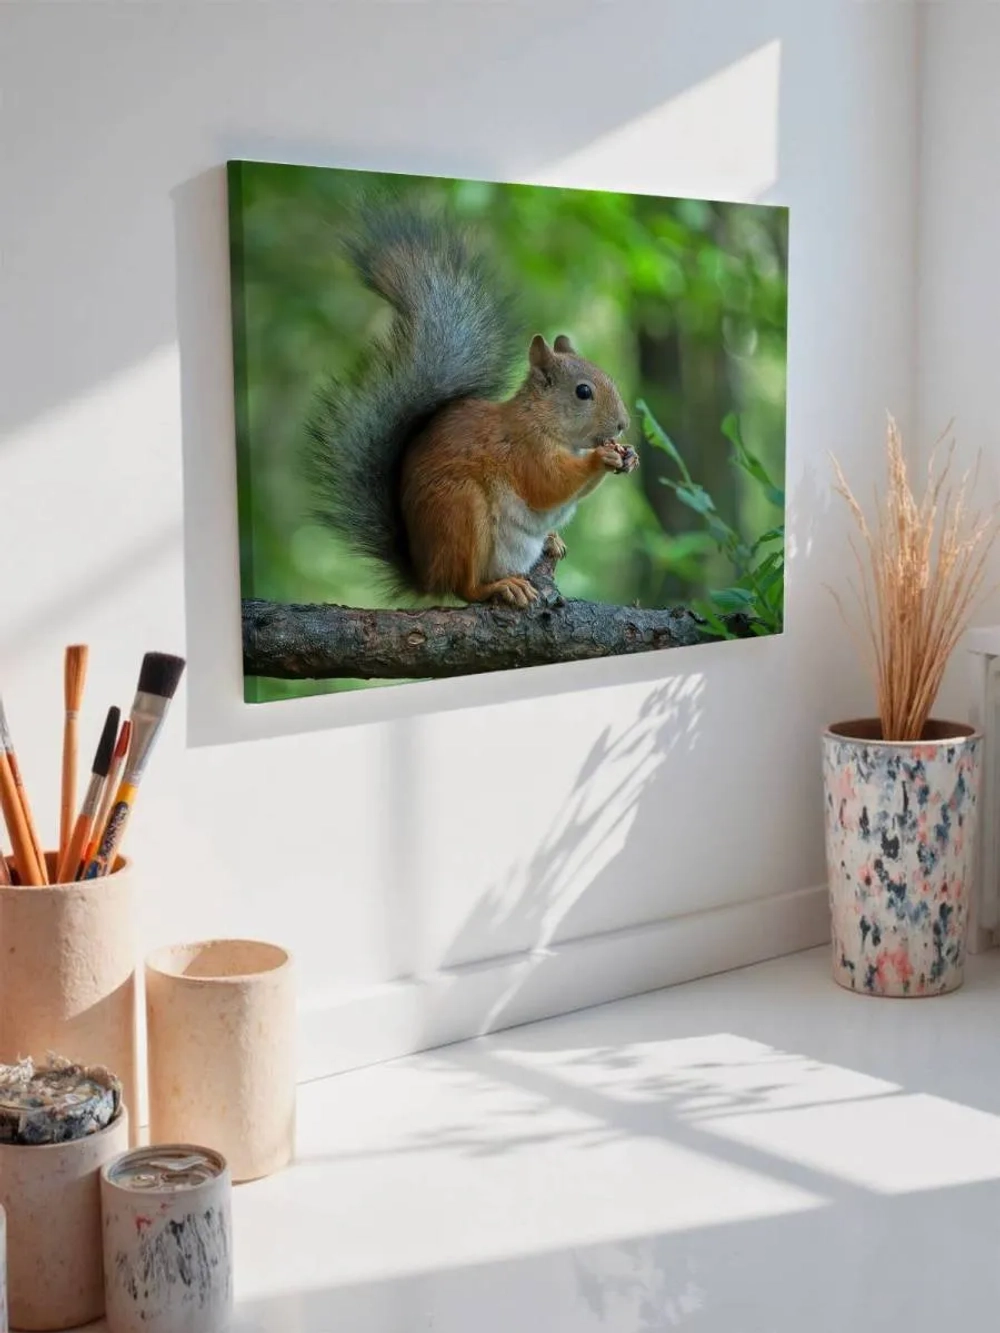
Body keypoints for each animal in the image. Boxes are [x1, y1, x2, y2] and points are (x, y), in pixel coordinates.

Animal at [306, 205, 638, 609]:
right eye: (583, 392)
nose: (622, 424)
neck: (543, 421)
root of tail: (426, 575)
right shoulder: (524, 449)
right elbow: (548, 483)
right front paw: (600, 458)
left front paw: (629, 456)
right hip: (461, 511)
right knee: (464, 587)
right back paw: (500, 587)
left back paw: (548, 542)